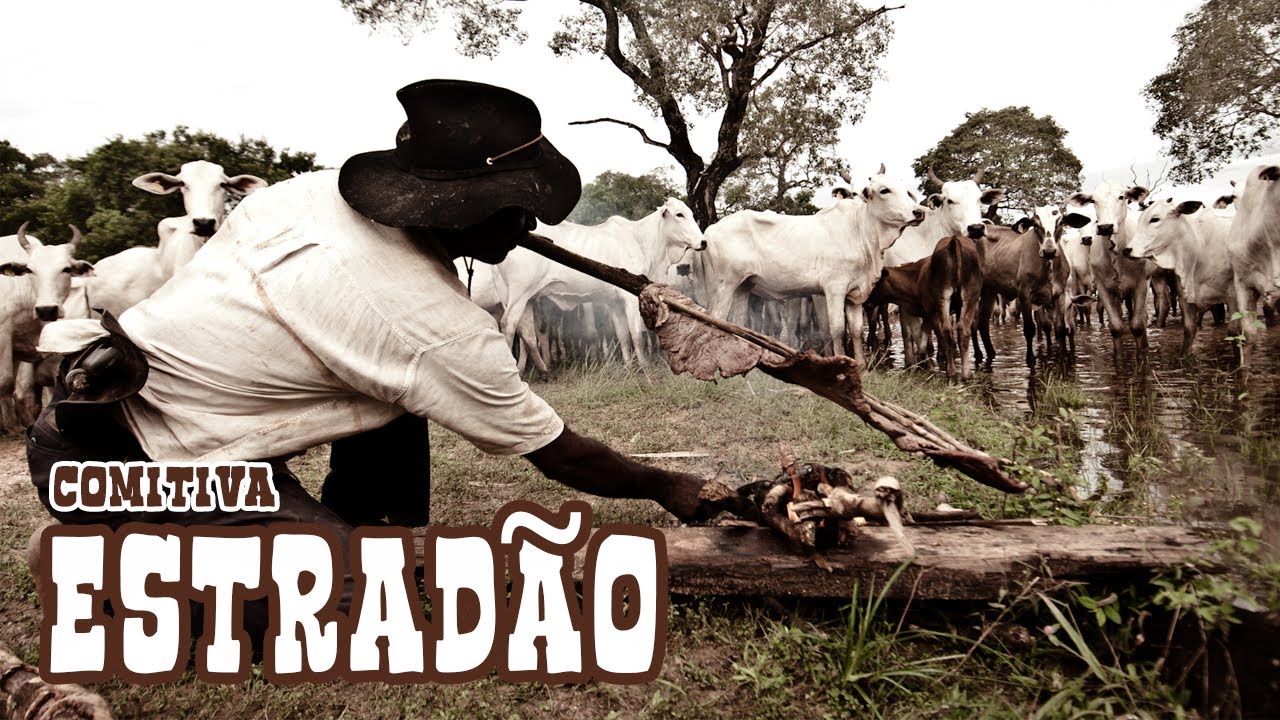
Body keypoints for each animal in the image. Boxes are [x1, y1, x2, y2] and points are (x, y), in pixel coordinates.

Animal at [494, 196, 706, 366]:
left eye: (690, 213)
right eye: (679, 214)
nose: (703, 242)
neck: (643, 241)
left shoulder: (615, 303)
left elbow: (623, 336)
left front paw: (629, 367)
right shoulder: (630, 298)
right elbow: (637, 335)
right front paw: (644, 367)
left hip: (526, 299)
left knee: (527, 334)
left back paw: (543, 370)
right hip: (519, 293)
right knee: (508, 326)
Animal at [696, 169, 926, 363]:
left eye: (907, 192)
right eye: (884, 190)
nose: (918, 212)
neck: (860, 231)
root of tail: (709, 231)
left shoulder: (855, 294)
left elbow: (856, 330)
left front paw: (861, 366)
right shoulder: (834, 289)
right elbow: (837, 330)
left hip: (744, 286)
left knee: (736, 322)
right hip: (724, 285)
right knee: (715, 319)